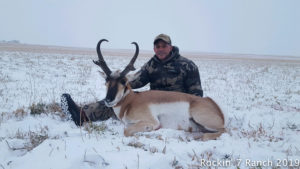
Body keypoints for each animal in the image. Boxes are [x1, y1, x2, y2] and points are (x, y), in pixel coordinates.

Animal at [94, 39, 225, 141]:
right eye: (106, 80)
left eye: (123, 81)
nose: (108, 100)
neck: (131, 101)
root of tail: (212, 103)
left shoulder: (152, 122)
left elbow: (127, 131)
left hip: (201, 119)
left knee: (222, 131)